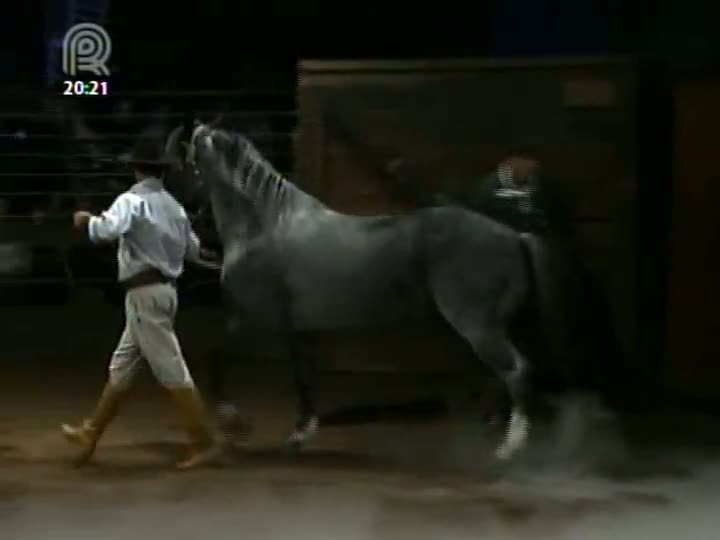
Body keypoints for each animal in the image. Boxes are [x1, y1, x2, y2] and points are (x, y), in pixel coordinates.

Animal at [167, 121, 540, 460]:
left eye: (186, 161)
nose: (178, 205)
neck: (264, 227)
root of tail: (515, 237)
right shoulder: (298, 329)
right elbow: (303, 376)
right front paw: (301, 433)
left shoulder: (252, 320)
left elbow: (218, 357)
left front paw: (235, 420)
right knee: (503, 374)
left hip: (476, 325)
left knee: (516, 370)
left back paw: (509, 446)